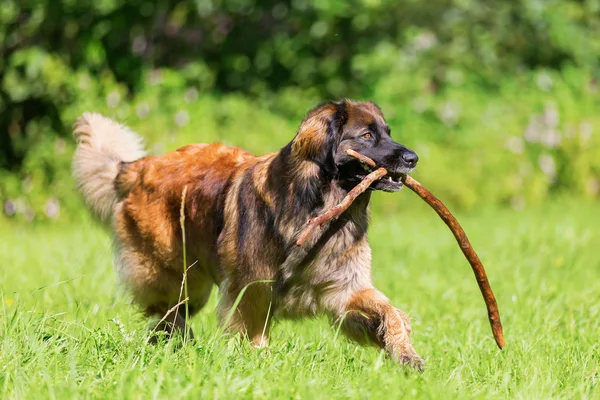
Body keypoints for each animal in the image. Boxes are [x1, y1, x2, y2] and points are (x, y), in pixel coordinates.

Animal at [72, 99, 424, 368]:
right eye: (367, 135)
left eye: (387, 133)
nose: (413, 158)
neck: (321, 209)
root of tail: (140, 166)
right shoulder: (253, 288)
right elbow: (253, 331)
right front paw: (258, 363)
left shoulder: (343, 290)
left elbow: (389, 312)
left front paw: (405, 352)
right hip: (179, 277)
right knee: (166, 312)